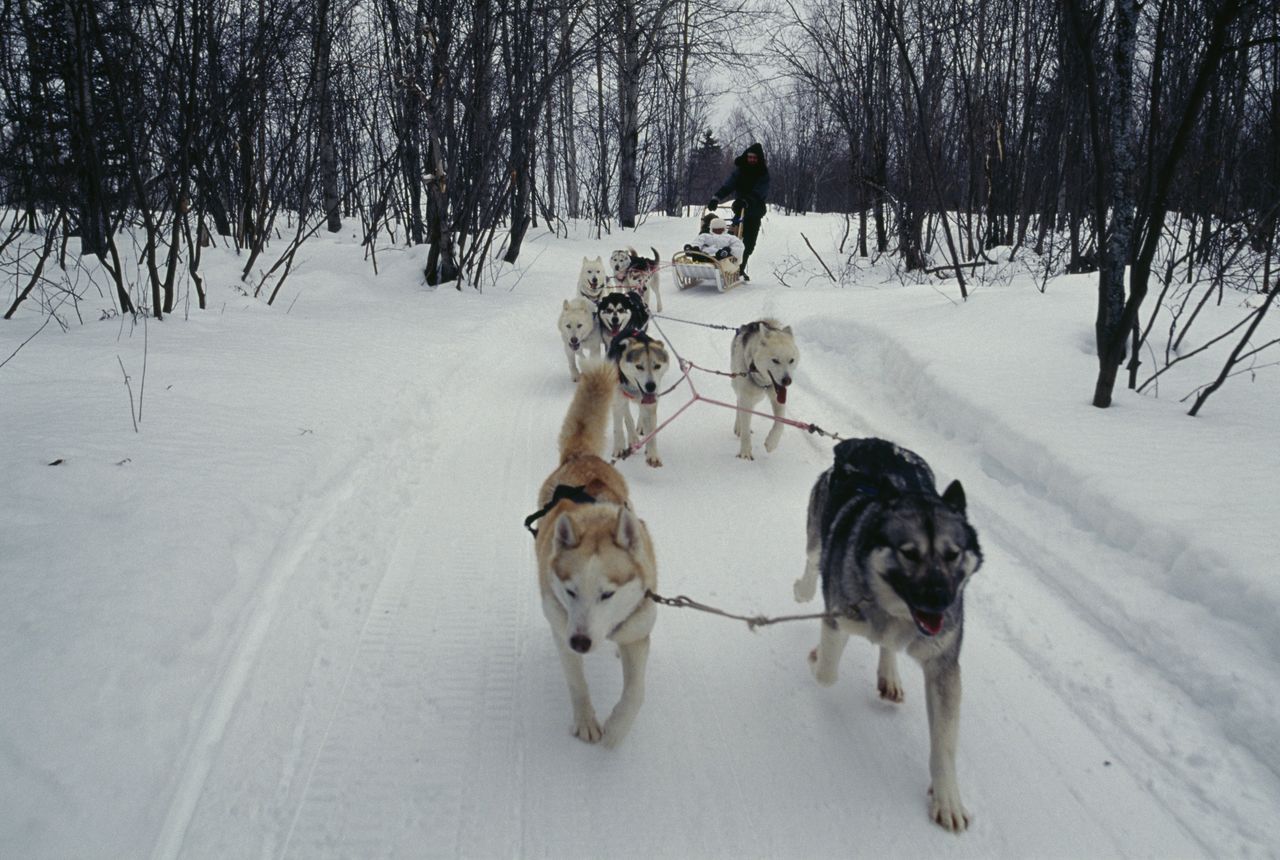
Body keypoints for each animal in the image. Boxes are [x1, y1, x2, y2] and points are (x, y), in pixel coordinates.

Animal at [532, 358, 655, 747]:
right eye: (570, 591)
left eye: (607, 594)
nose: (582, 641)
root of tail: (582, 456)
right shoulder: (562, 631)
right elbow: (577, 683)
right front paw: (587, 720)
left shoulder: (637, 633)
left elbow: (636, 693)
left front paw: (617, 729)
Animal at [732, 318, 798, 460]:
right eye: (775, 360)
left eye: (791, 360)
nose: (787, 380)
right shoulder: (746, 398)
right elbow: (745, 429)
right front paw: (745, 453)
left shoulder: (778, 399)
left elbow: (780, 423)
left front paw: (771, 443)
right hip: (738, 386)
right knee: (738, 403)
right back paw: (738, 427)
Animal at [793, 440, 983, 829]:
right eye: (908, 553)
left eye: (953, 554)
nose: (940, 600)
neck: (895, 612)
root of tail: (872, 442)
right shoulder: (838, 620)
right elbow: (827, 672)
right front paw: (817, 657)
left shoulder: (943, 666)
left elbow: (944, 743)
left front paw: (947, 798)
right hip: (817, 533)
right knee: (813, 557)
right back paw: (804, 588)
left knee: (888, 647)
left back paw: (889, 674)